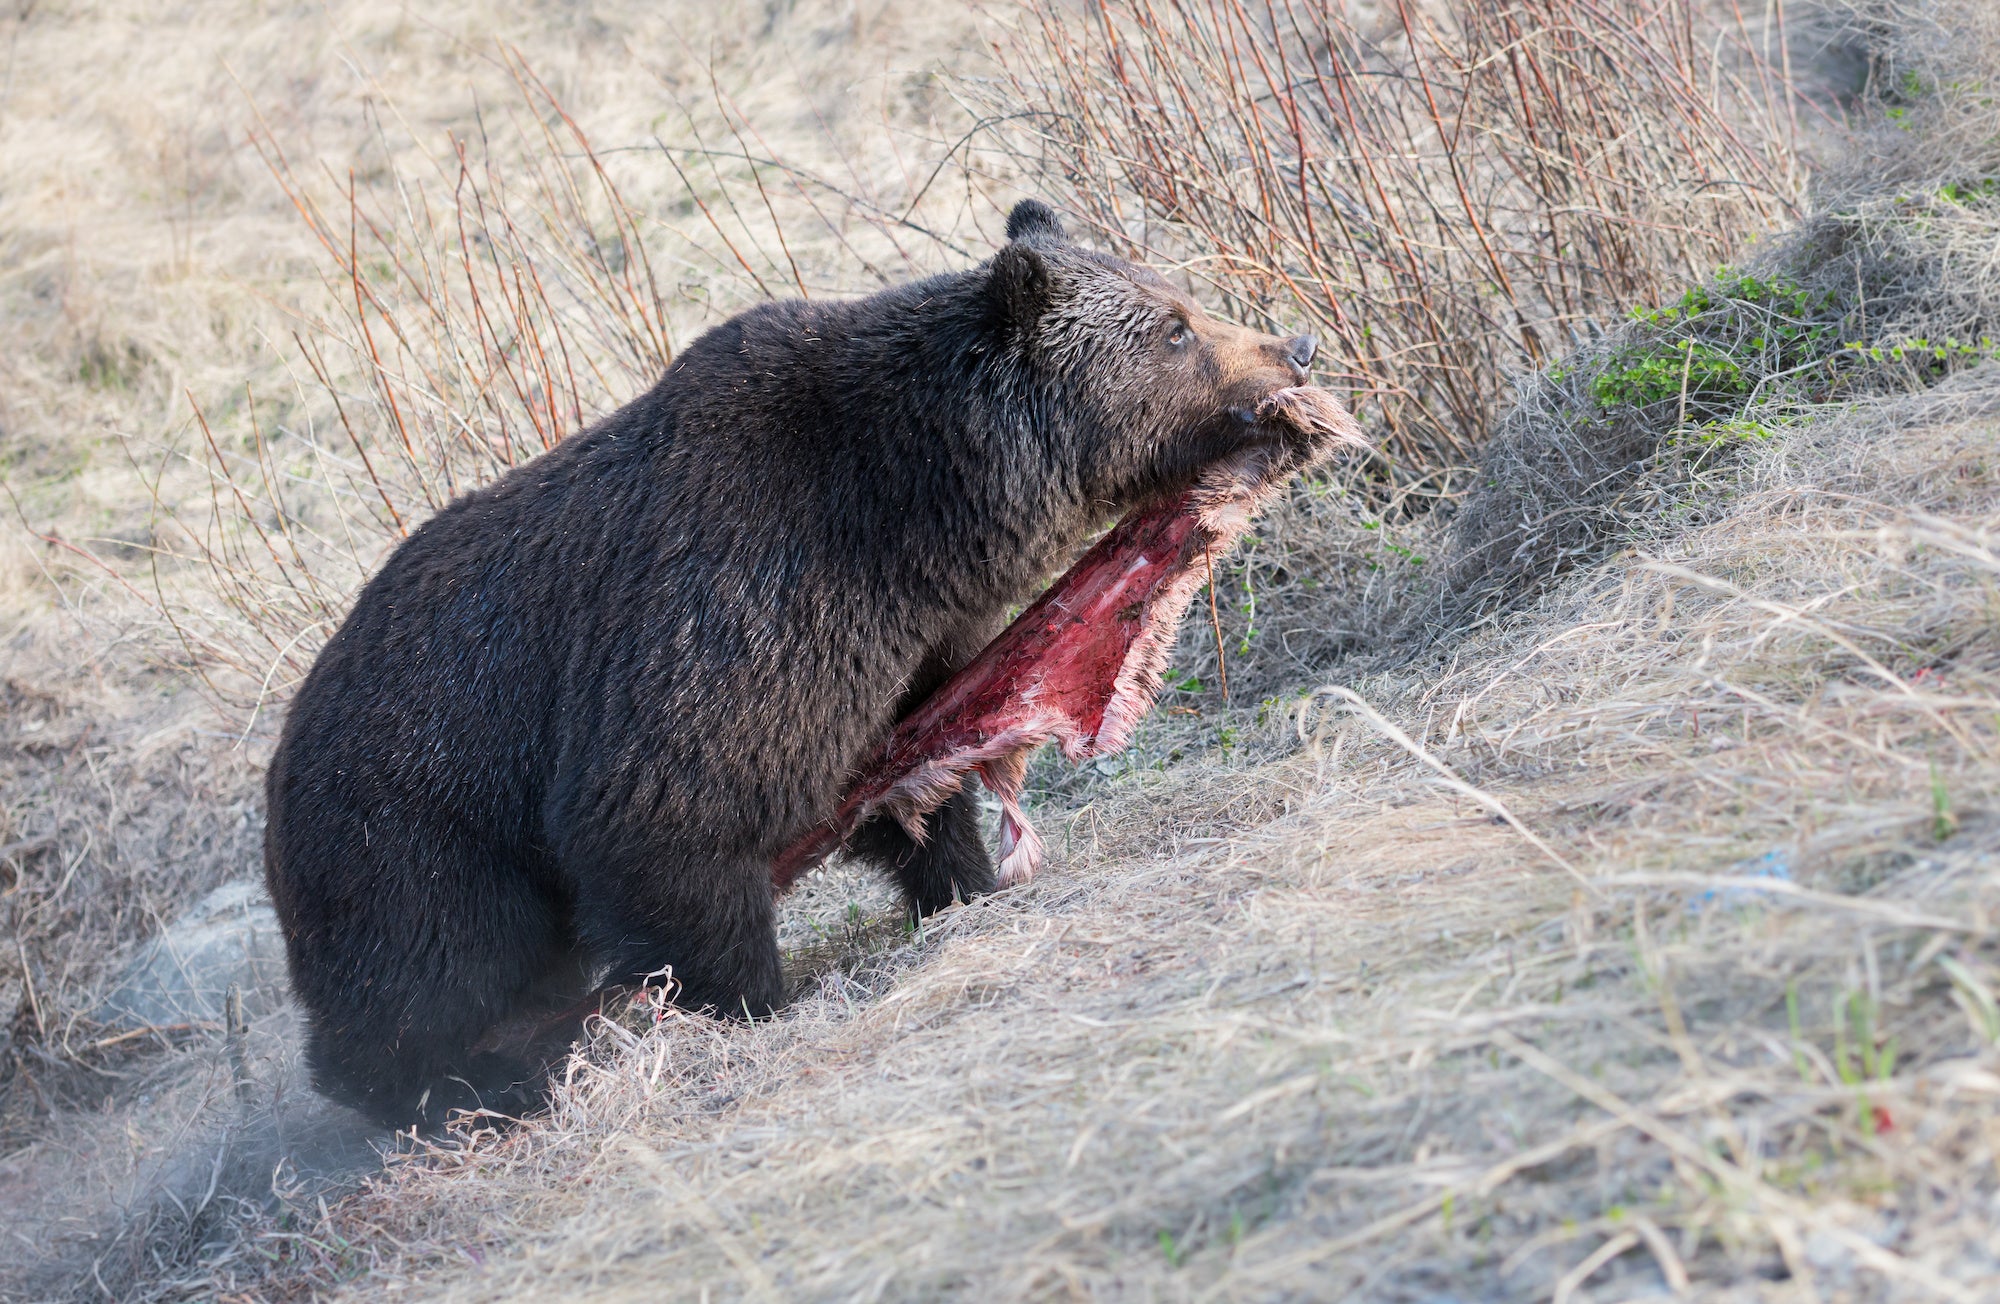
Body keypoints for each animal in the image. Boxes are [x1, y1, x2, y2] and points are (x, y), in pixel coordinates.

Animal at [266, 199, 1328, 1128]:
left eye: (1179, 298)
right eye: (1176, 329)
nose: (1297, 345)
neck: (909, 512)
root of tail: (276, 762)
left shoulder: (906, 648)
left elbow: (918, 775)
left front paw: (960, 882)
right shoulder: (733, 607)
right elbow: (662, 811)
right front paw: (748, 1000)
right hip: (419, 824)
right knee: (430, 973)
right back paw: (457, 1086)